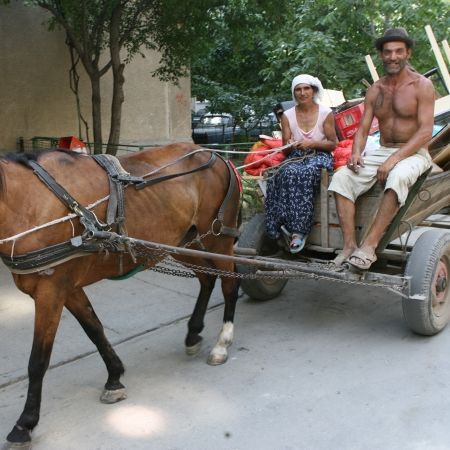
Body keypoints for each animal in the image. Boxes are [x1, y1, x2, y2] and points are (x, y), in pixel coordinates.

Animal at [0, 142, 243, 448]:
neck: (25, 202)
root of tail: (217, 154)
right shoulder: (69, 288)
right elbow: (95, 330)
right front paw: (114, 376)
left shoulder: (51, 291)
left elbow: (38, 361)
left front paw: (25, 423)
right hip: (182, 242)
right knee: (207, 278)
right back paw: (193, 333)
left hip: (218, 239)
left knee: (230, 284)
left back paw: (222, 343)